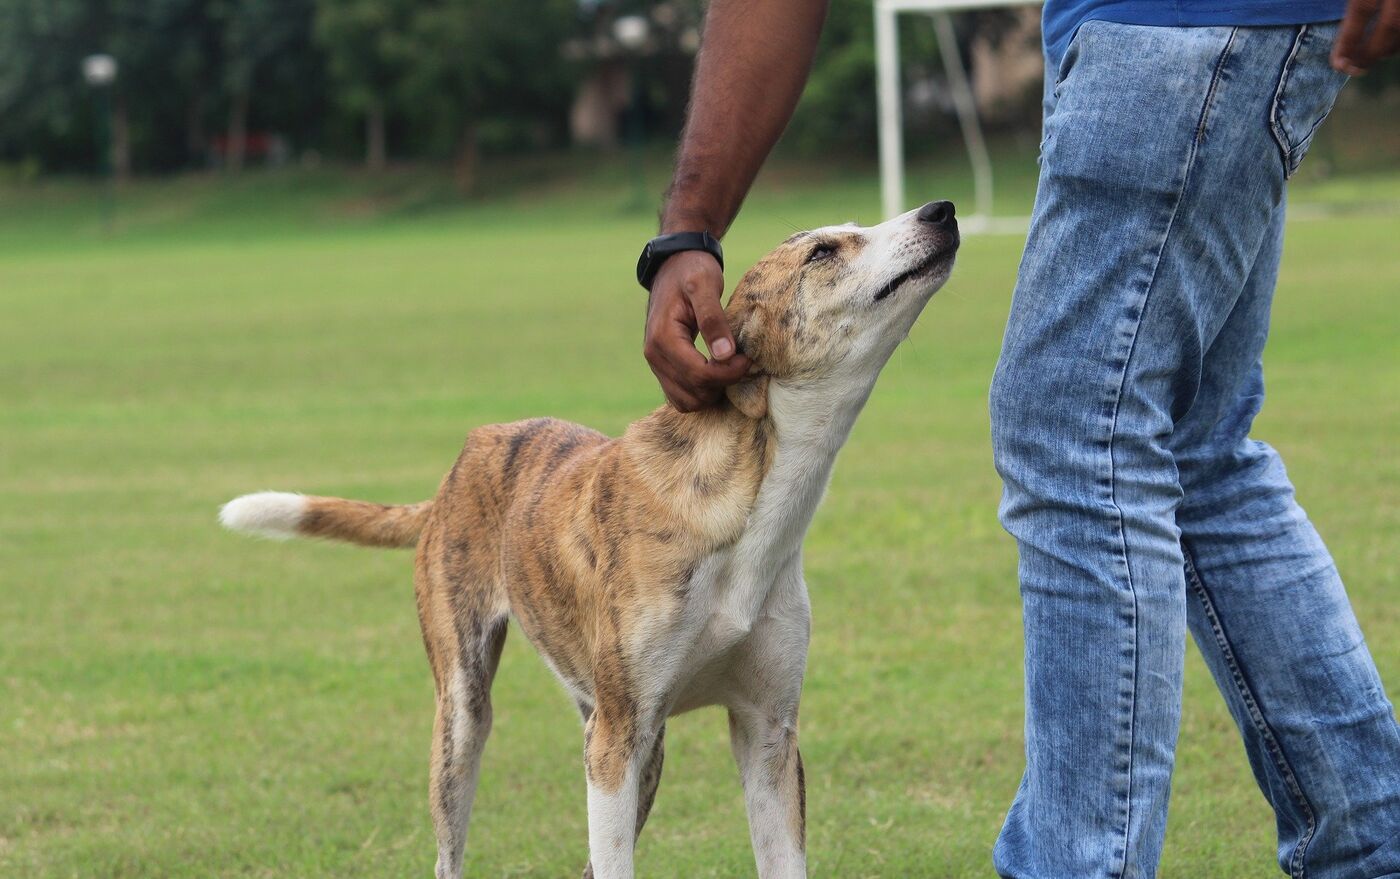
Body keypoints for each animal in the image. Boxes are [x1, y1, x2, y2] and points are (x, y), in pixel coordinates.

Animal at [221, 201, 963, 879]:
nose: (942, 210)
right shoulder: (617, 738)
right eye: (822, 252)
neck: (751, 505)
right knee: (450, 842)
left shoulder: (767, 733)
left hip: (633, 741)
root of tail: (460, 465)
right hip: (470, 718)